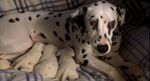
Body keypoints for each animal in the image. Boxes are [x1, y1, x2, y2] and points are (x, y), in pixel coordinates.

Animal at [0, 0, 144, 81]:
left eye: (112, 23)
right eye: (92, 22)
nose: (102, 48)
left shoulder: (111, 55)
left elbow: (127, 64)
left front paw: (137, 71)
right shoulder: (85, 58)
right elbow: (111, 69)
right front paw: (120, 77)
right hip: (21, 44)